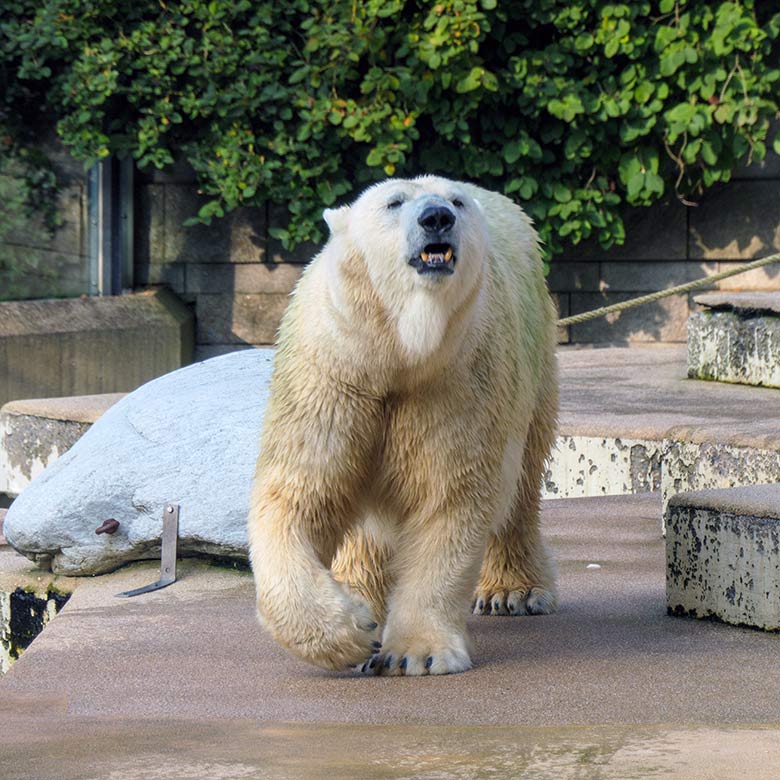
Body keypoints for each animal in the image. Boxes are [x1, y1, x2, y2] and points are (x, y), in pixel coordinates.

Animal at [247, 177, 556, 676]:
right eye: (393, 202)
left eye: (456, 203)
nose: (437, 217)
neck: (396, 351)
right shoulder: (331, 375)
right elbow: (298, 497)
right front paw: (352, 630)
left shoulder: (458, 383)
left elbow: (448, 499)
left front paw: (417, 652)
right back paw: (363, 599)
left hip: (534, 359)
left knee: (523, 479)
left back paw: (513, 591)